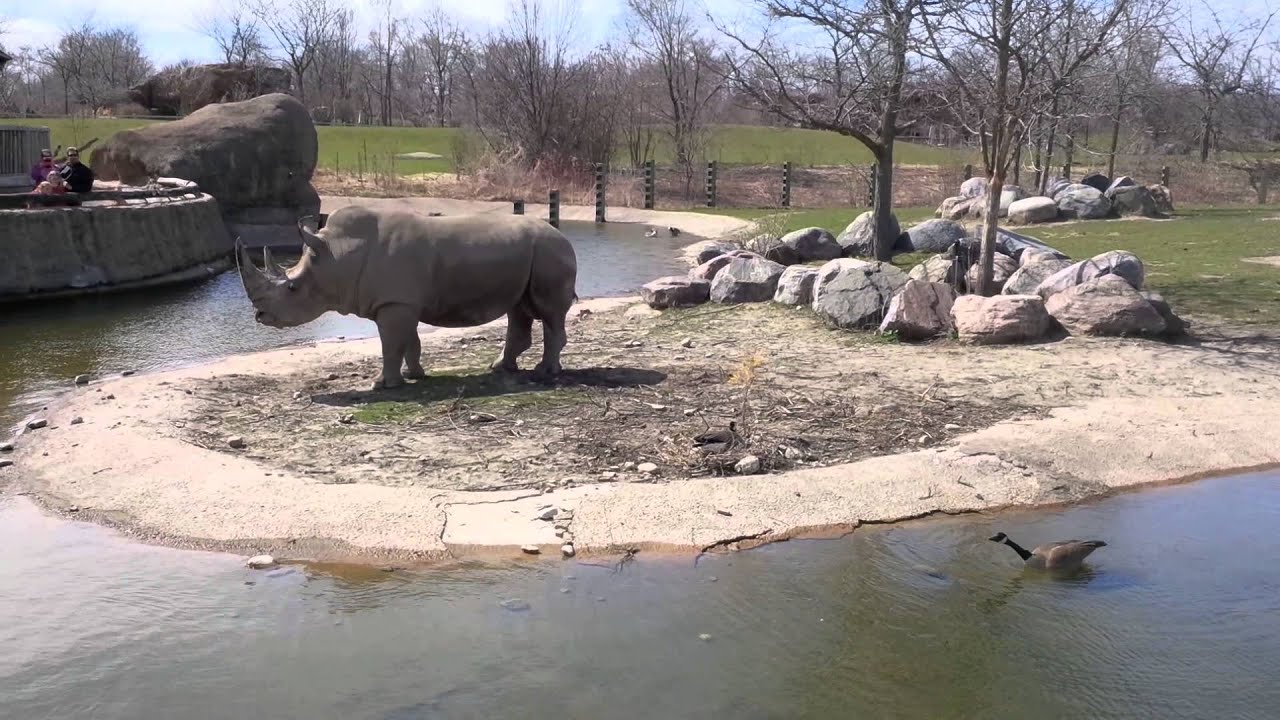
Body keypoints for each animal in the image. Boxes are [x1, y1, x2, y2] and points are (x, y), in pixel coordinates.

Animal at [236, 205, 579, 389]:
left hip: (550, 252)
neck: (337, 256)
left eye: (292, 288)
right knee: (519, 310)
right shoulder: (402, 302)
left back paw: (545, 372)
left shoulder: (394, 303)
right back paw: (500, 368)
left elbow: (391, 345)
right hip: (532, 254)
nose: (260, 316)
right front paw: (414, 375)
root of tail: (563, 235)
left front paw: (382, 384)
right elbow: (409, 342)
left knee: (549, 313)